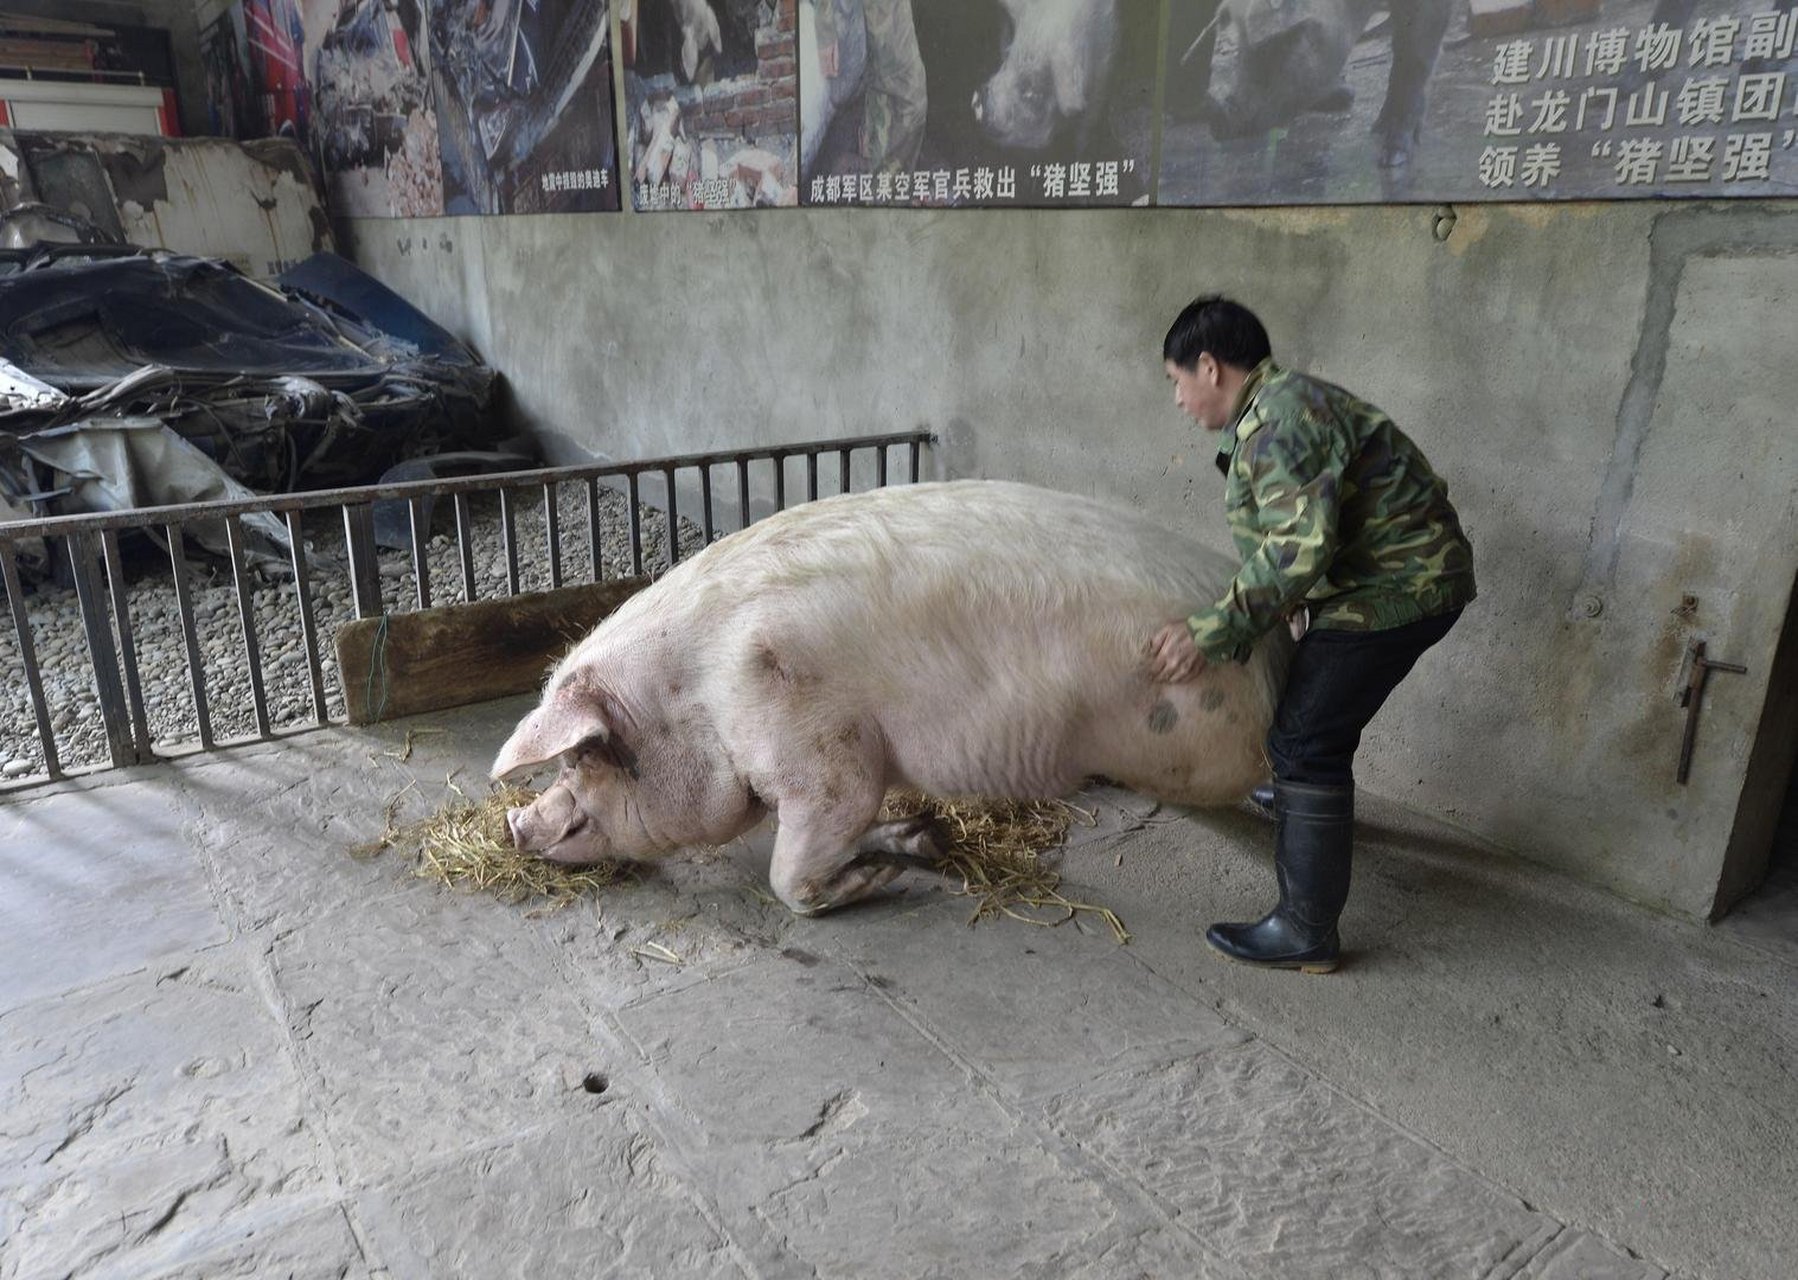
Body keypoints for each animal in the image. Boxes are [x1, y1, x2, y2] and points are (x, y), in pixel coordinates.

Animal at [492, 481, 1287, 920]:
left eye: (580, 761)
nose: (515, 825)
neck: (694, 695)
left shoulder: (818, 747)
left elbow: (794, 861)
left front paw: (881, 879)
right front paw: (922, 840)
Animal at [1201, 0, 1452, 167]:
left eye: (1280, 42)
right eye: (1240, 48)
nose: (1219, 123)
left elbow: (1413, 59)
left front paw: (1392, 159)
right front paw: (1377, 129)